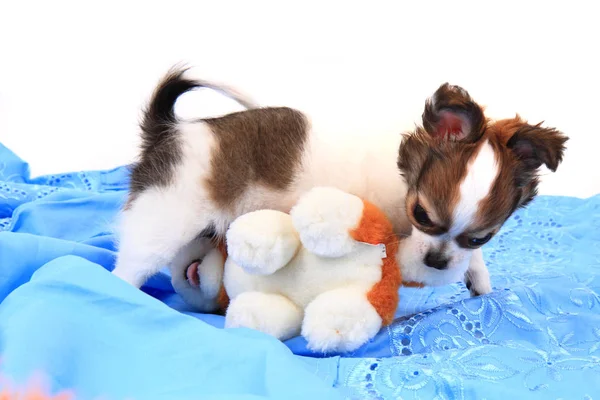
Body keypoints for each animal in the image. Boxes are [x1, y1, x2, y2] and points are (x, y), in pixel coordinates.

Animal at [112, 67, 568, 310]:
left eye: (480, 237)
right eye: (421, 215)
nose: (437, 261)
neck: (402, 174)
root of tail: (167, 131)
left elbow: (472, 260)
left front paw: (479, 279)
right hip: (164, 221)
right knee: (129, 269)